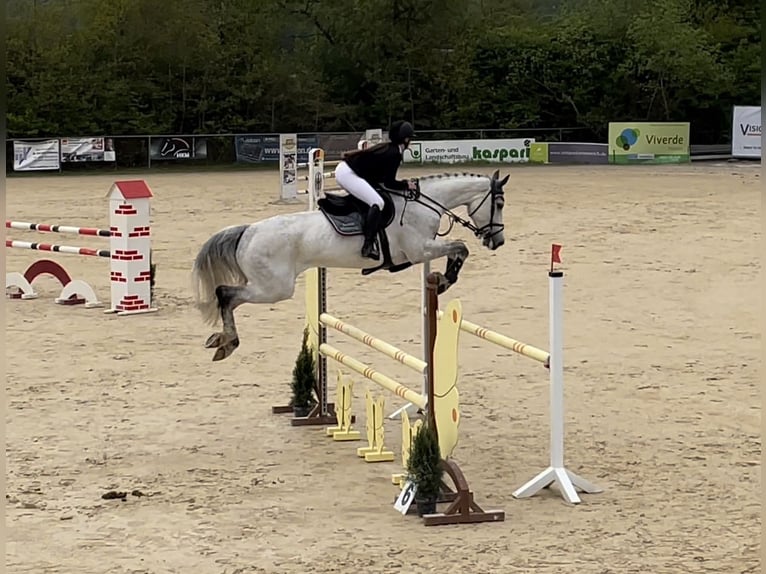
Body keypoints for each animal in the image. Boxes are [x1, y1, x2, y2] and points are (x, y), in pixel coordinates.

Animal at [192, 169, 509, 361]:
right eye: (499, 204)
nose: (498, 241)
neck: (423, 205)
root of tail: (248, 231)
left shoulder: (423, 250)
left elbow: (458, 248)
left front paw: (444, 278)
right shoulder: (420, 250)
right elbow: (460, 247)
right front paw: (445, 280)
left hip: (268, 286)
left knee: (228, 297)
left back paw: (221, 341)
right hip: (274, 288)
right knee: (225, 294)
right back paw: (228, 342)